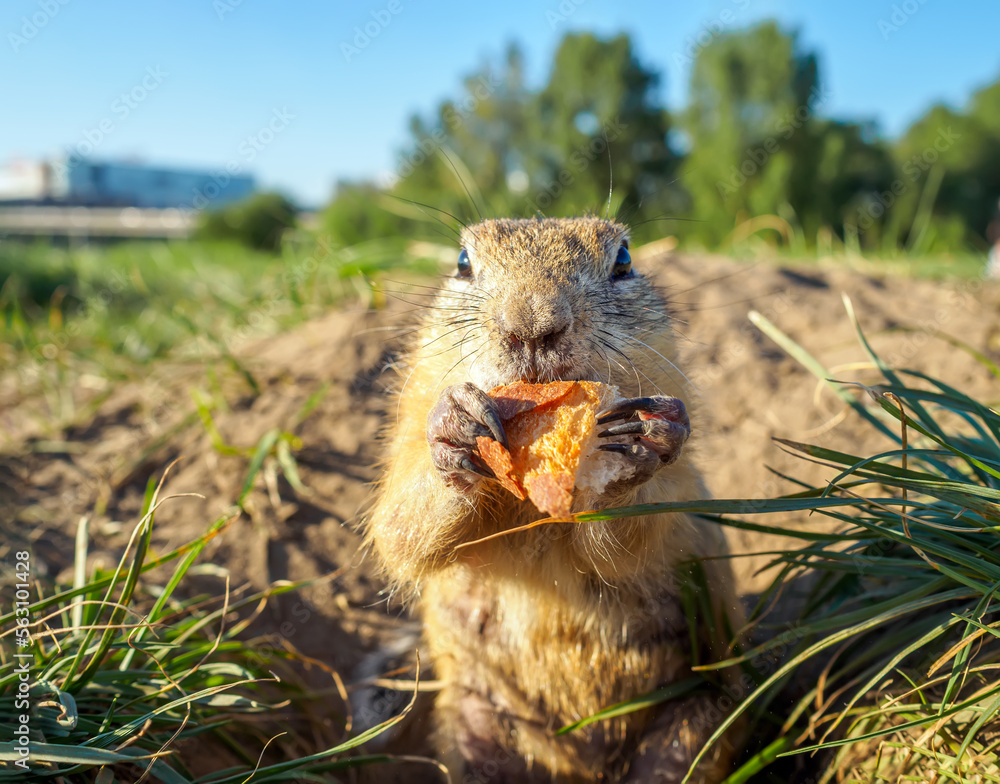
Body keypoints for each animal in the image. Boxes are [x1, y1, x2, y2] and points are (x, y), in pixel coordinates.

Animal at [368, 216, 744, 784]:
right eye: (462, 262)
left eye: (624, 260)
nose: (532, 326)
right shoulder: (405, 429)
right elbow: (399, 528)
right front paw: (456, 424)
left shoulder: (682, 491)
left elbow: (644, 534)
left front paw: (639, 441)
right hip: (475, 722)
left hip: (697, 718)